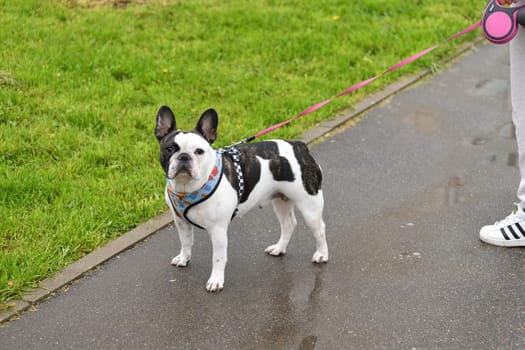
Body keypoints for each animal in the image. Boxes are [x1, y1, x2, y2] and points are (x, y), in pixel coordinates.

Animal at [155, 105, 328, 292]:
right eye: (170, 149)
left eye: (199, 151)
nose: (184, 156)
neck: (186, 188)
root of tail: (299, 146)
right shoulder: (181, 222)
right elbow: (186, 242)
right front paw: (184, 258)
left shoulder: (218, 230)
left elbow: (218, 257)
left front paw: (216, 280)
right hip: (281, 200)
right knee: (288, 224)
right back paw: (279, 248)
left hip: (309, 204)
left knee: (319, 228)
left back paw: (321, 255)